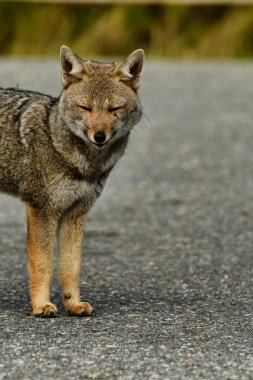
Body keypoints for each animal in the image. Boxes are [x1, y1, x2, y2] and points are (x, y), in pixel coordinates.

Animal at [0, 45, 144, 318]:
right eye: (85, 108)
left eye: (114, 109)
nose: (99, 136)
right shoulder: (42, 209)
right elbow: (44, 263)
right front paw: (41, 306)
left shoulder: (76, 213)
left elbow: (71, 265)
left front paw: (74, 304)